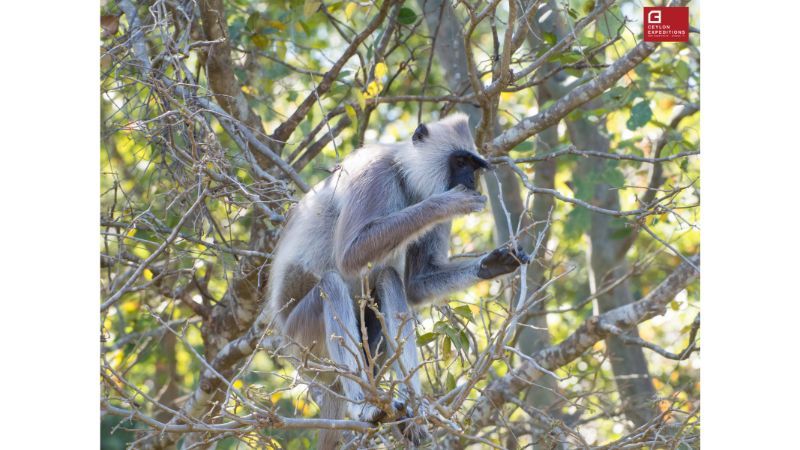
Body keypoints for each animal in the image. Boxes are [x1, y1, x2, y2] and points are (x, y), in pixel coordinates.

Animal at [266, 113, 529, 448]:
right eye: (460, 161)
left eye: (474, 166)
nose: (471, 181)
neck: (404, 176)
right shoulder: (376, 174)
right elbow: (349, 256)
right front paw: (446, 204)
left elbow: (415, 284)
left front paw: (493, 264)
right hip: (302, 341)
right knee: (332, 283)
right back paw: (364, 407)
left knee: (387, 279)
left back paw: (410, 411)